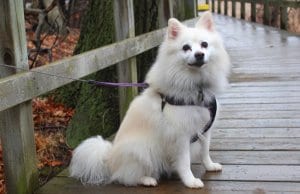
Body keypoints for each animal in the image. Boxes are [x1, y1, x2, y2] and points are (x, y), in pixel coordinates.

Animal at [69, 11, 230, 189]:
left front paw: (210, 166)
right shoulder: (180, 136)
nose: (199, 54)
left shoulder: (204, 128)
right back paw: (147, 179)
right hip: (140, 150)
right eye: (186, 47)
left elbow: (205, 152)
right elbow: (184, 162)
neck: (196, 86)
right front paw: (190, 181)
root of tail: (108, 159)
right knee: (125, 177)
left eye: (204, 45)